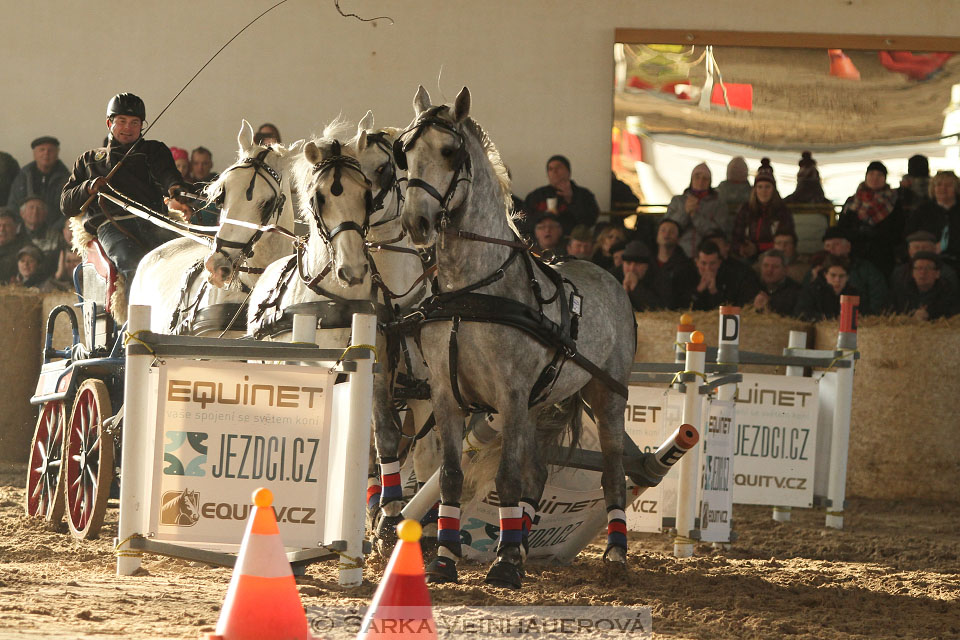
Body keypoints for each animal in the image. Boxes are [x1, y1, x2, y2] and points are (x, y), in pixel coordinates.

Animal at [394, 87, 632, 588]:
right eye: (404, 152)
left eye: (450, 151)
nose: (416, 222)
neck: (473, 290)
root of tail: (608, 274)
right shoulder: (446, 394)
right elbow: (451, 475)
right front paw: (445, 559)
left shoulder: (511, 393)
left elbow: (506, 478)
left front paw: (503, 564)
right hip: (539, 402)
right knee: (537, 471)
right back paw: (520, 541)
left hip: (606, 396)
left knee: (612, 472)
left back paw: (615, 552)